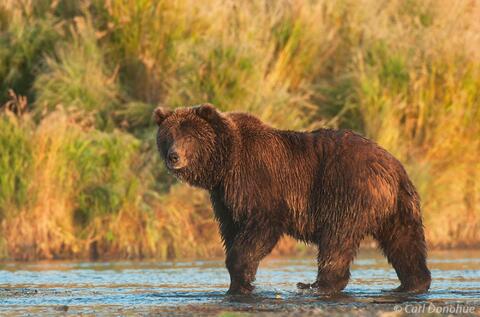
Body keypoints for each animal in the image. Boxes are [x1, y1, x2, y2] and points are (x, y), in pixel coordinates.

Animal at [153, 103, 432, 294]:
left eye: (189, 136)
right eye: (168, 136)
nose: (173, 156)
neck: (226, 163)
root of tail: (392, 167)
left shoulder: (259, 183)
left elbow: (260, 229)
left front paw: (242, 278)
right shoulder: (224, 198)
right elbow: (231, 231)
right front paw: (238, 283)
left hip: (346, 191)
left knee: (337, 238)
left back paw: (317, 284)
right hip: (400, 206)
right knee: (404, 242)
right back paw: (412, 283)